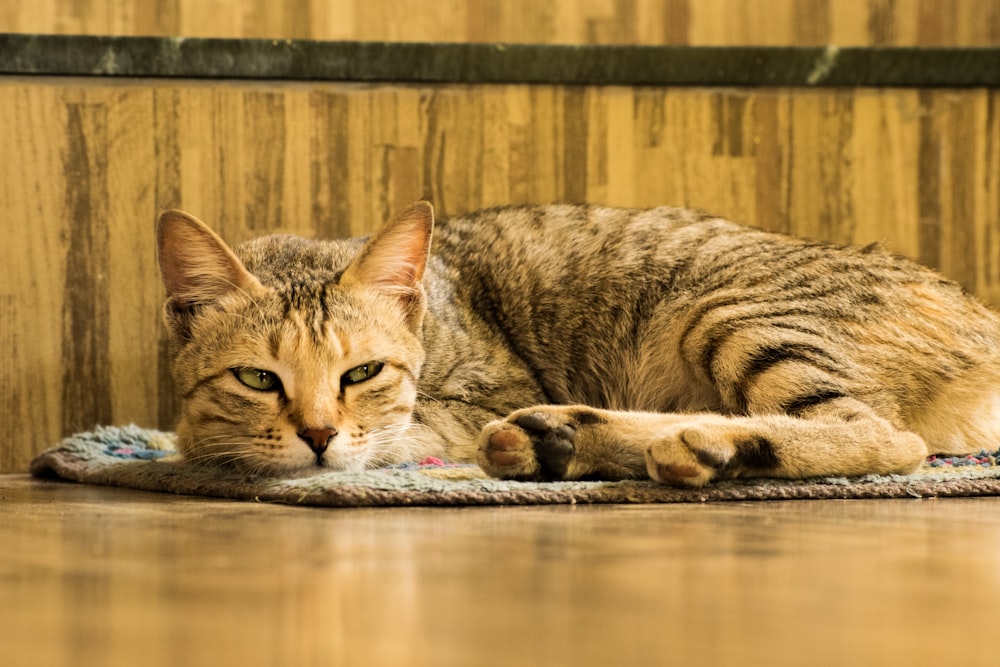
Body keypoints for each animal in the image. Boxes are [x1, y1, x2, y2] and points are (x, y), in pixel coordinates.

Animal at [154, 201, 1000, 488]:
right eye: (259, 377)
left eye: (361, 370)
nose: (317, 433)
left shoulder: (483, 391)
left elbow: (405, 425)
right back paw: (564, 437)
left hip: (731, 311)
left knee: (882, 436)